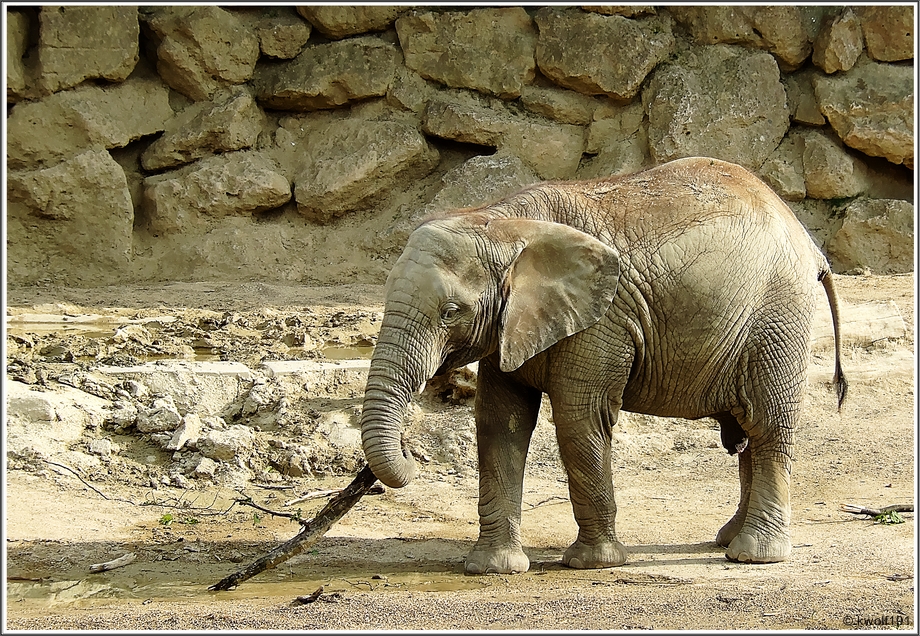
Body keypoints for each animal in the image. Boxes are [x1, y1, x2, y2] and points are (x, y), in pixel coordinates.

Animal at [356, 157, 844, 572]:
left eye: (450, 312)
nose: (409, 457)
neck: (504, 222)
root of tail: (808, 241)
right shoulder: (511, 326)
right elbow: (499, 423)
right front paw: (492, 568)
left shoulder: (601, 320)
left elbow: (578, 419)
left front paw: (594, 563)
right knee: (746, 428)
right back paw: (728, 539)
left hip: (778, 315)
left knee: (766, 423)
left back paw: (753, 555)